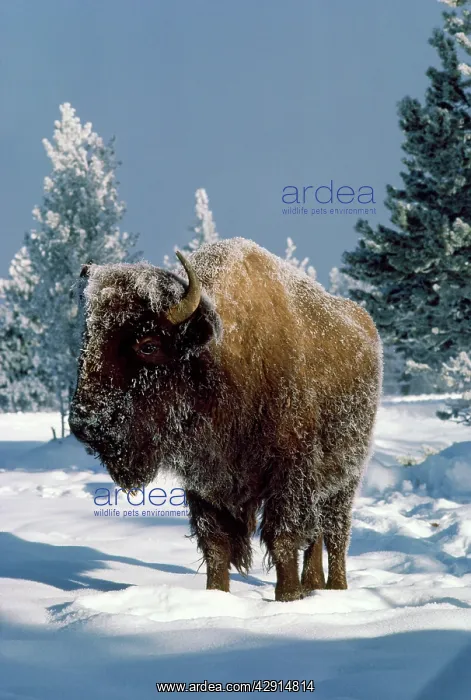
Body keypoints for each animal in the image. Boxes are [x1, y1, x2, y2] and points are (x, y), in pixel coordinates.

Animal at [69, 237, 382, 601]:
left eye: (148, 345)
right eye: (88, 341)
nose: (85, 423)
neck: (221, 360)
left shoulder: (290, 472)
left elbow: (283, 538)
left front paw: (288, 597)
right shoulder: (205, 483)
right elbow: (216, 545)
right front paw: (217, 596)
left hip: (346, 477)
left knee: (335, 532)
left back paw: (336, 587)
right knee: (317, 534)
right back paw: (314, 584)